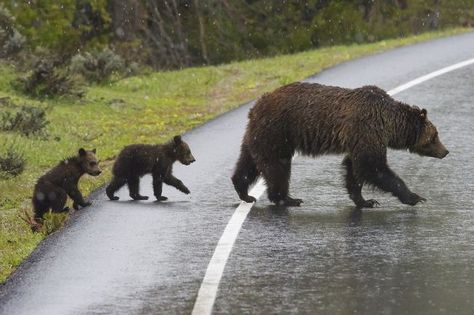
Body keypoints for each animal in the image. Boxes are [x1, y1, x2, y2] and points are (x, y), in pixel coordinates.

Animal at [231, 82, 450, 209]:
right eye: (435, 136)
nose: (445, 151)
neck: (389, 124)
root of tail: (255, 106)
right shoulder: (367, 128)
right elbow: (373, 166)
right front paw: (414, 197)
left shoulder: (359, 139)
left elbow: (354, 167)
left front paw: (365, 200)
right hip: (279, 132)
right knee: (277, 166)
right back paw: (287, 198)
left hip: (258, 135)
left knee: (248, 162)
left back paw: (244, 192)